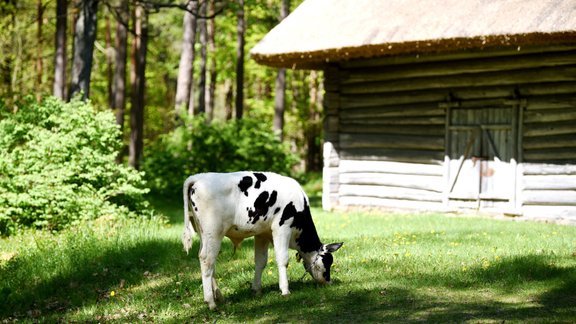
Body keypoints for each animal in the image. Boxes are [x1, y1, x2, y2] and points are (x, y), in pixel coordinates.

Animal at [181, 171, 342, 310]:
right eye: (327, 261)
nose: (329, 281)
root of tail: (198, 177)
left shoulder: (262, 234)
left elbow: (260, 261)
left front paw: (257, 290)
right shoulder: (282, 228)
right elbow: (283, 260)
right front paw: (285, 290)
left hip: (204, 234)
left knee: (207, 260)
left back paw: (219, 297)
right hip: (213, 232)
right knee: (207, 260)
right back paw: (211, 302)